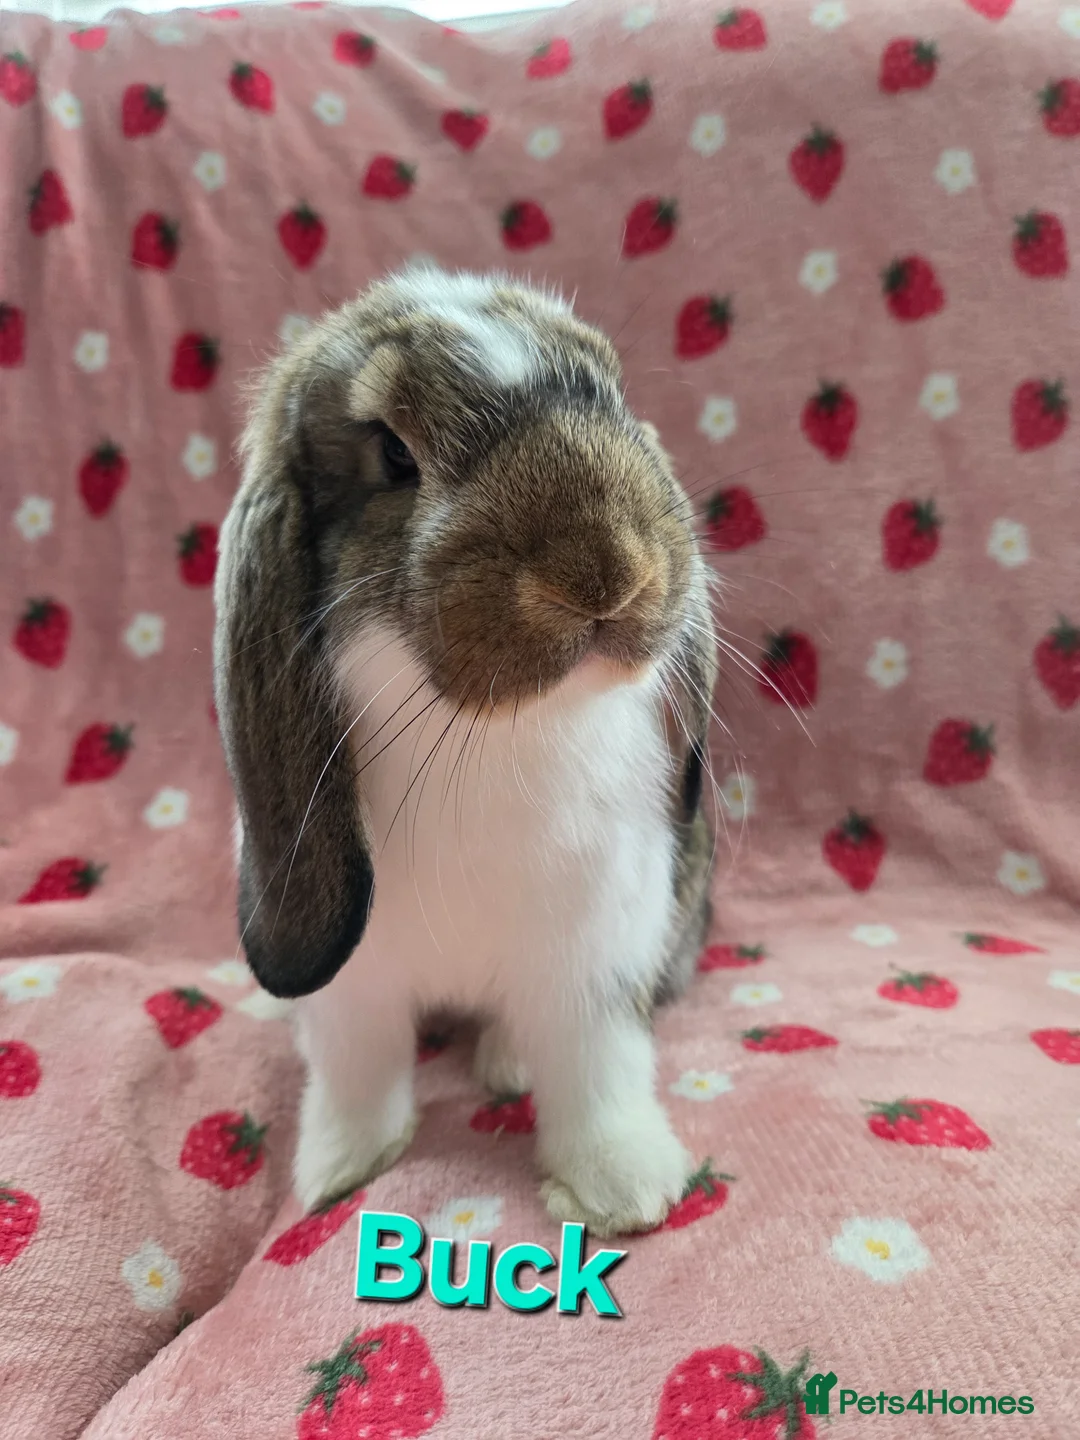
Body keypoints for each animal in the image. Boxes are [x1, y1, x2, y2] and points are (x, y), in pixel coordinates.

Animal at [213, 263, 718, 1236]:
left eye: (609, 394)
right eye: (393, 456)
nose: (608, 572)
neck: (492, 740)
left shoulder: (595, 956)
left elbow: (597, 1068)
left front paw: (623, 1189)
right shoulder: (354, 988)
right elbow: (359, 1070)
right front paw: (338, 1169)